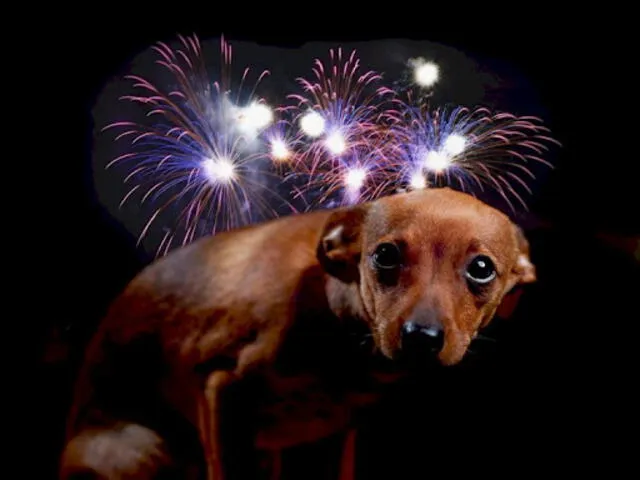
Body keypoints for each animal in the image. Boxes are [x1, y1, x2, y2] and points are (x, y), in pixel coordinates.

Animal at [62, 188, 536, 480]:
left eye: (481, 268)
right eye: (385, 255)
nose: (422, 336)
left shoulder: (332, 437)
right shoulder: (223, 393)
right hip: (145, 451)